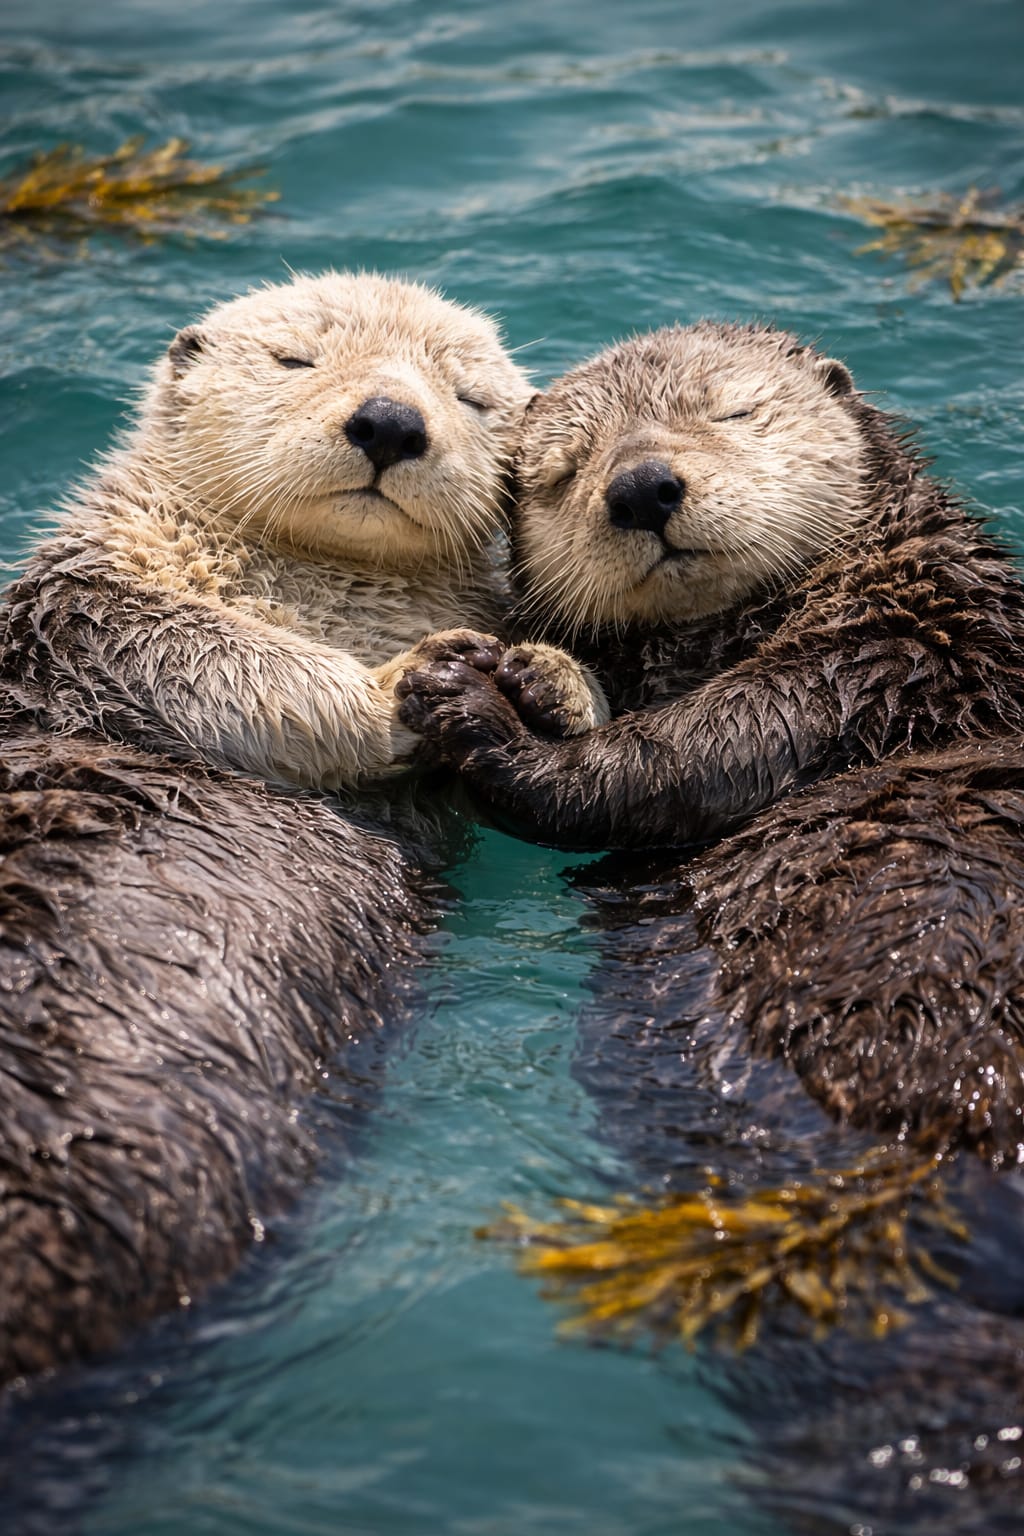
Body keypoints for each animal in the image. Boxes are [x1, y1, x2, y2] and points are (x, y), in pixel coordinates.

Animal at [0, 272, 530, 1383]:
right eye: (296, 359)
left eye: (470, 397)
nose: (390, 421)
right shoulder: (87, 609)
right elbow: (213, 654)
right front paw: (399, 681)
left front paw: (532, 684)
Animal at [396, 321, 1024, 1157]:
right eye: (566, 469)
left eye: (735, 412)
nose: (641, 487)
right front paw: (530, 675)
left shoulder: (890, 652)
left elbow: (698, 749)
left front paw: (484, 707)